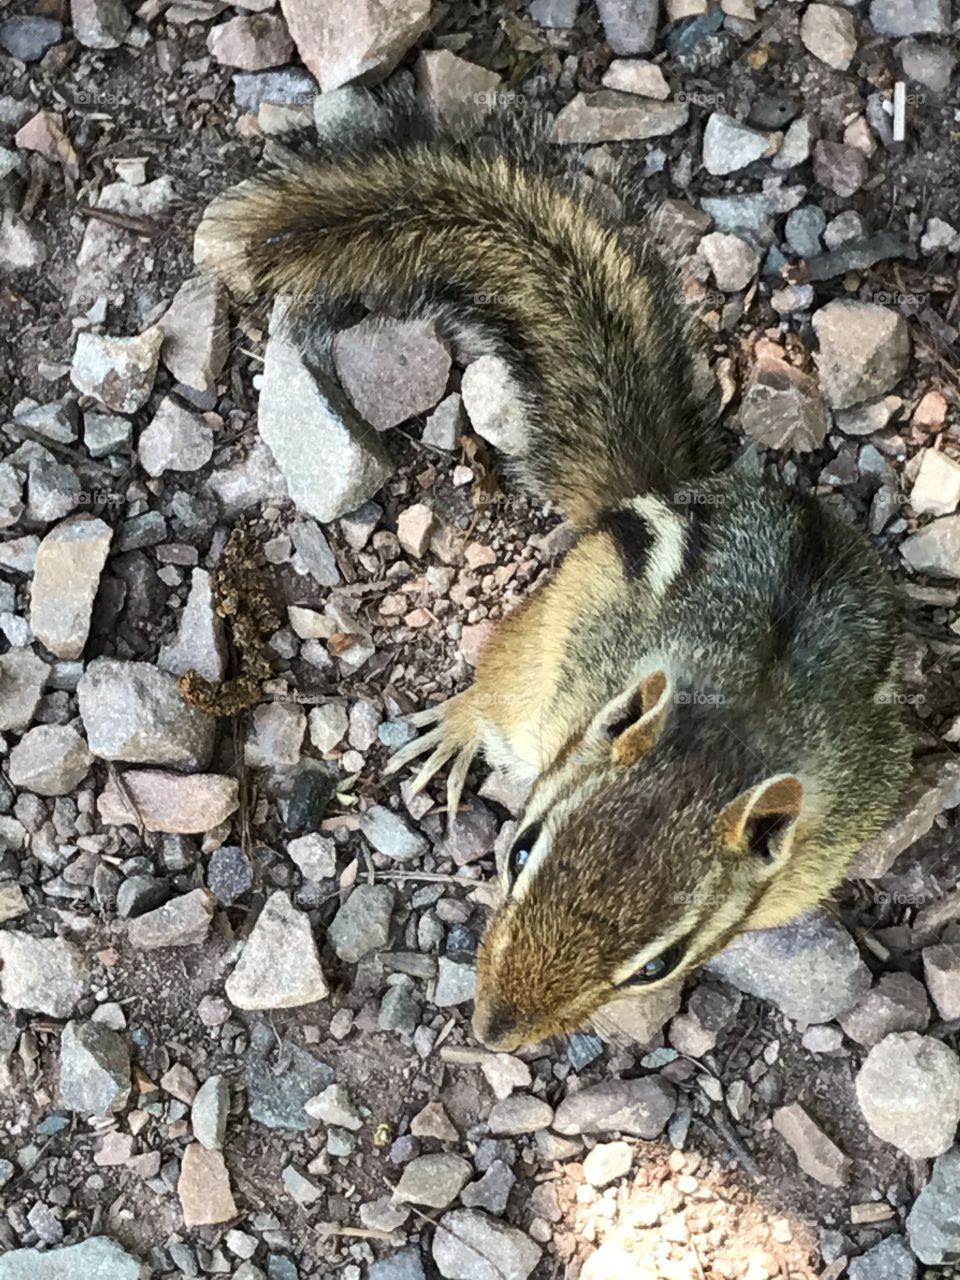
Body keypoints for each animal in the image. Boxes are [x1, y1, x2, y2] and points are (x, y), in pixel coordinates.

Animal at [204, 88, 913, 1053]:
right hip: (553, 634)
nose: (494, 1033)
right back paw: (456, 731)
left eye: (659, 964)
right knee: (502, 686)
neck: (732, 719)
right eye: (519, 846)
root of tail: (667, 488)